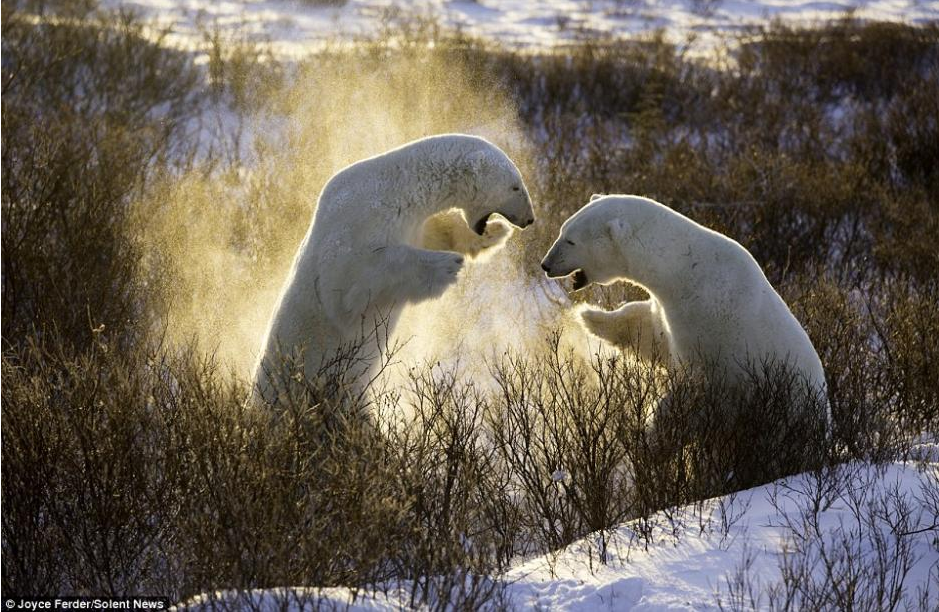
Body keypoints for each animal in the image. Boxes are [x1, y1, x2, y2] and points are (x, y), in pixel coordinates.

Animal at [253, 133, 536, 406]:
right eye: (515, 186)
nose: (529, 219)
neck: (397, 188)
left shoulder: (412, 225)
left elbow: (437, 233)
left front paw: (495, 231)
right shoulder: (356, 221)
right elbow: (348, 282)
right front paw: (447, 265)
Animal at [544, 194, 828, 424]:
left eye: (570, 241)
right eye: (562, 229)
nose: (546, 264)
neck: (685, 271)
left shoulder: (707, 322)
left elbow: (696, 385)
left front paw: (656, 427)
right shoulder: (669, 310)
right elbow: (648, 331)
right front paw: (589, 316)